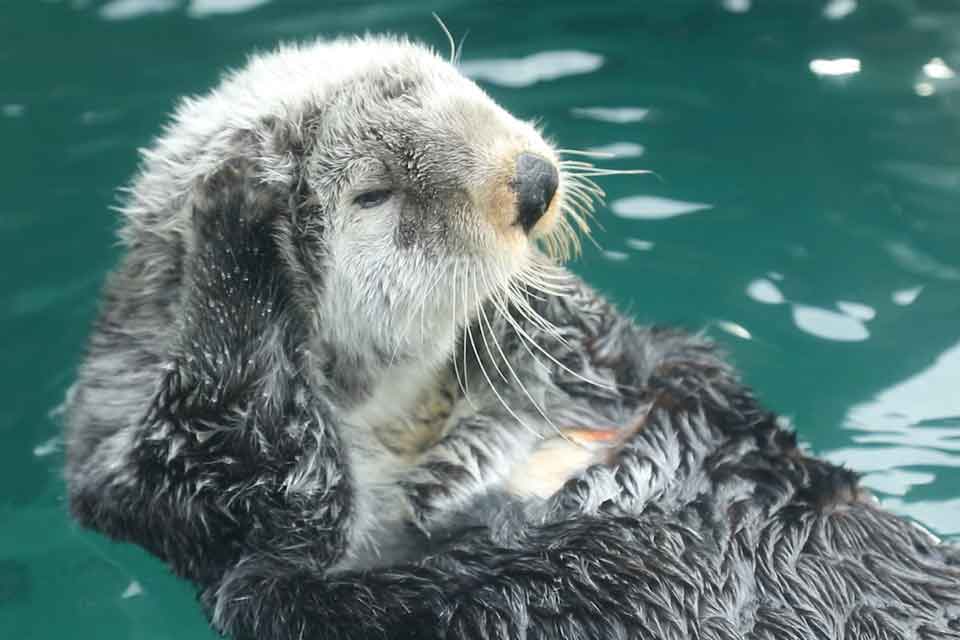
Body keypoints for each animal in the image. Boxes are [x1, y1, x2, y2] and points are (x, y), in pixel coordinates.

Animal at [65, 36, 960, 640]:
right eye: (373, 195)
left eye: (458, 90)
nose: (532, 181)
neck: (418, 422)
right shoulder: (184, 501)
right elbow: (241, 442)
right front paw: (233, 211)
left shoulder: (621, 371)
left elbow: (617, 350)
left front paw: (533, 300)